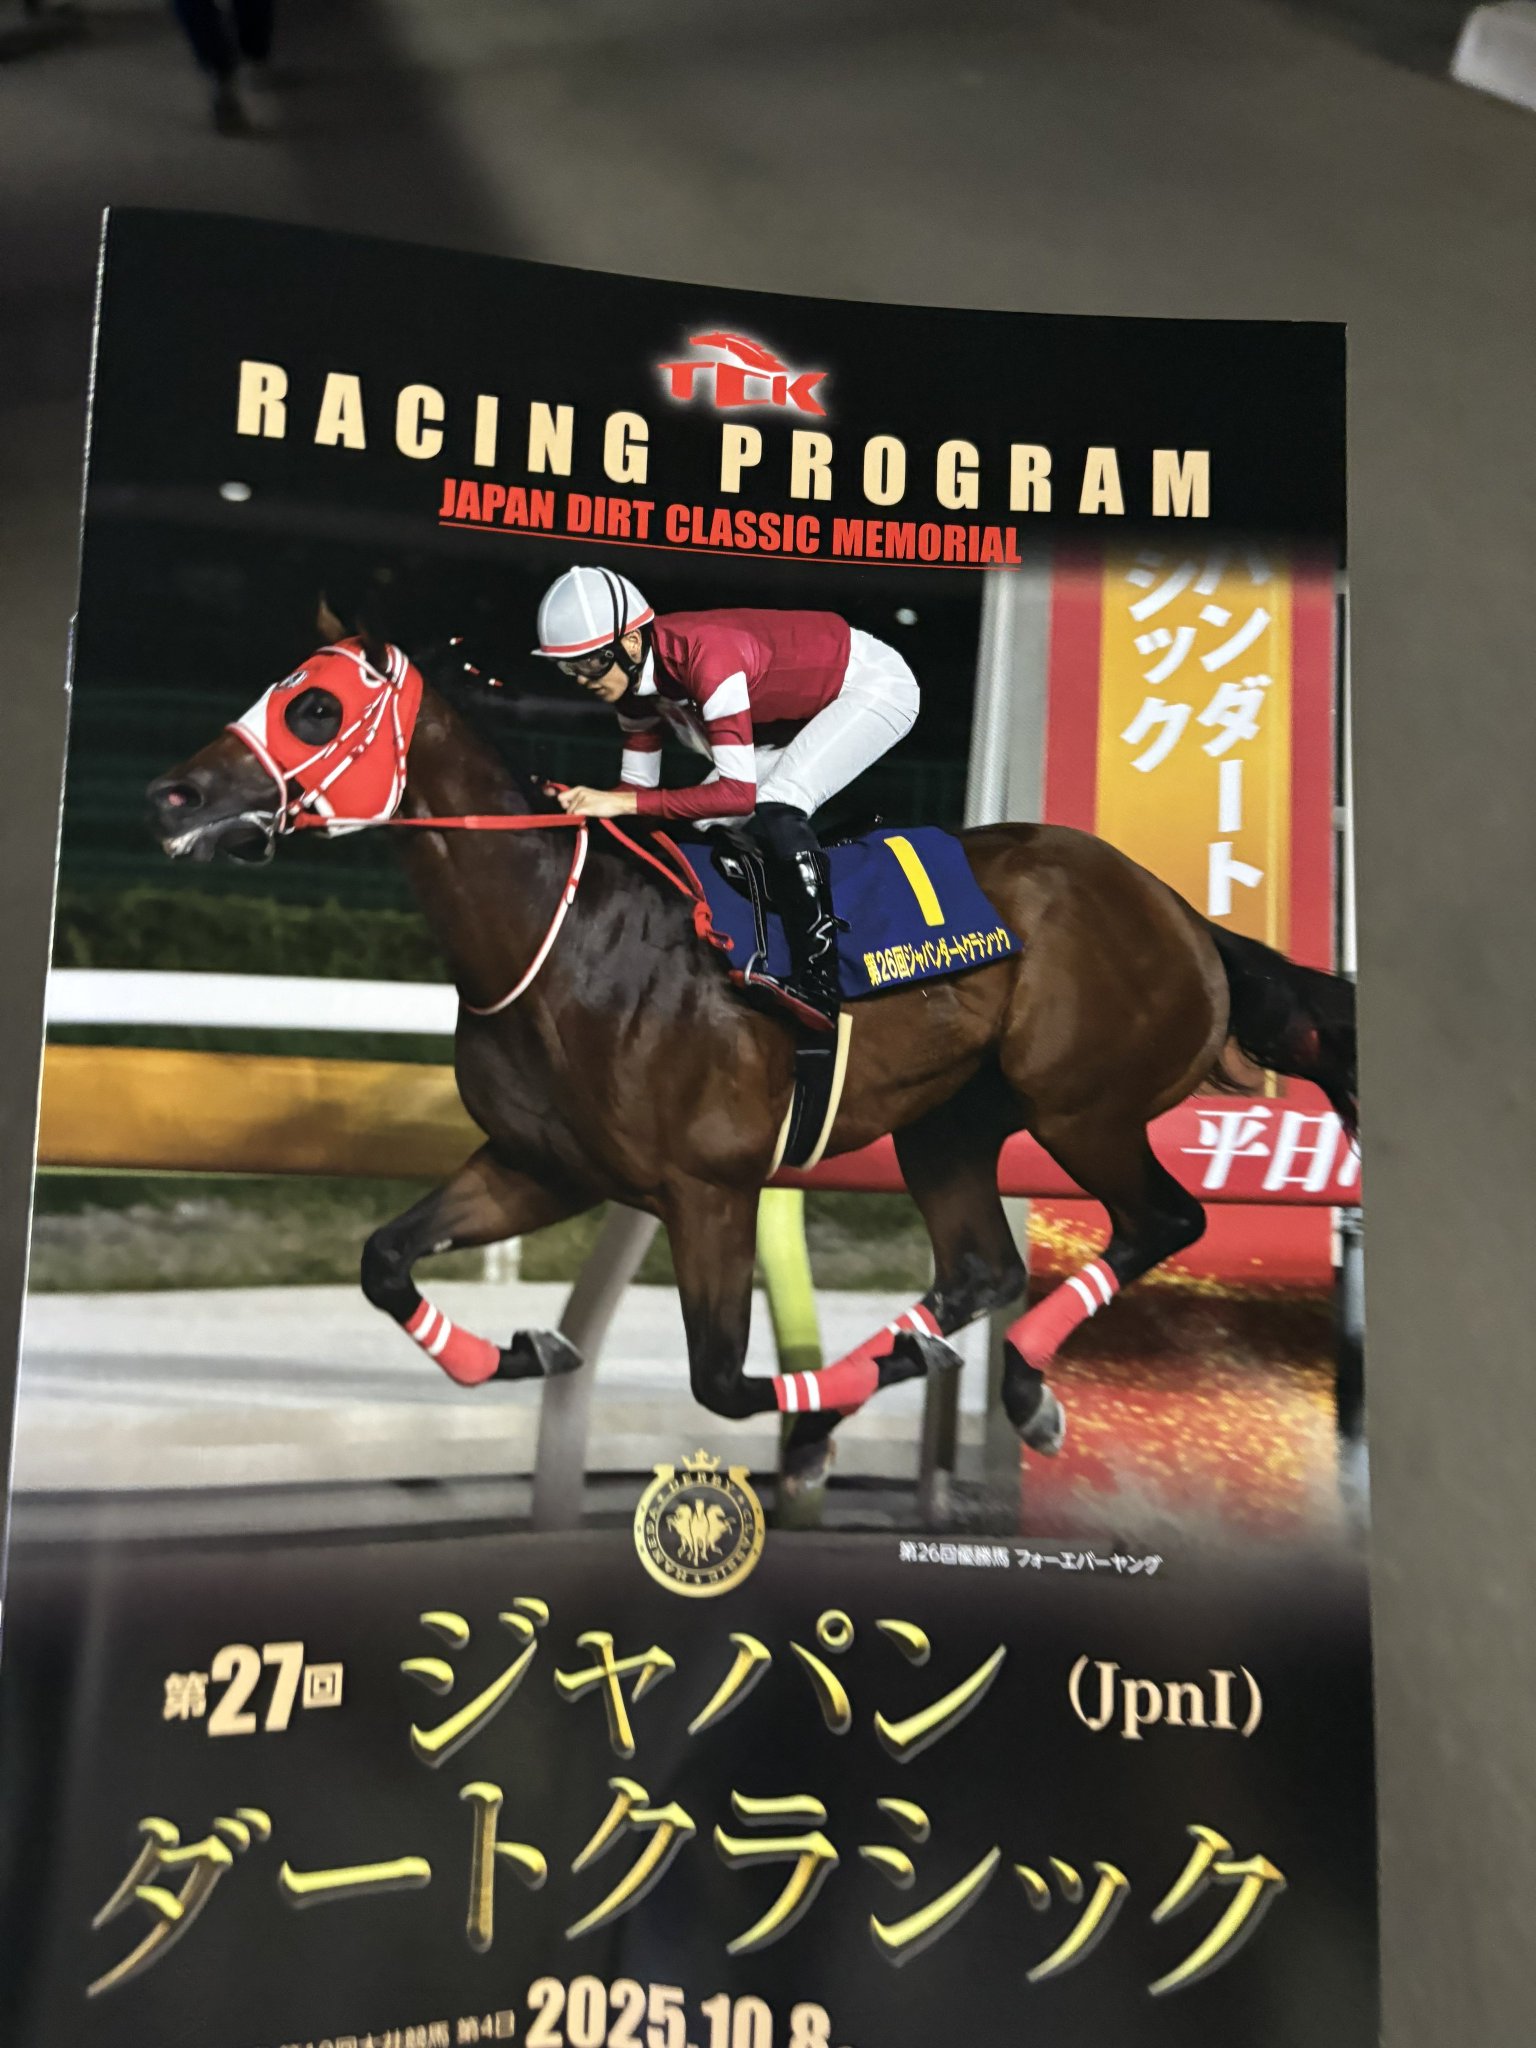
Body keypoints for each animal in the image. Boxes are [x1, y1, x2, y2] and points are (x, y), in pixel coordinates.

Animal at [145, 617, 1358, 1499]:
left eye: (313, 705)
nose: (173, 795)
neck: (563, 936)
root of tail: (1181, 910)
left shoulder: (710, 1187)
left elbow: (723, 1383)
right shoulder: (545, 1166)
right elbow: (385, 1261)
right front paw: (528, 1352)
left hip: (1082, 1105)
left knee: (1165, 1219)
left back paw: (1017, 1389)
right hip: (949, 1121)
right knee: (983, 1268)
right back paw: (903, 1382)